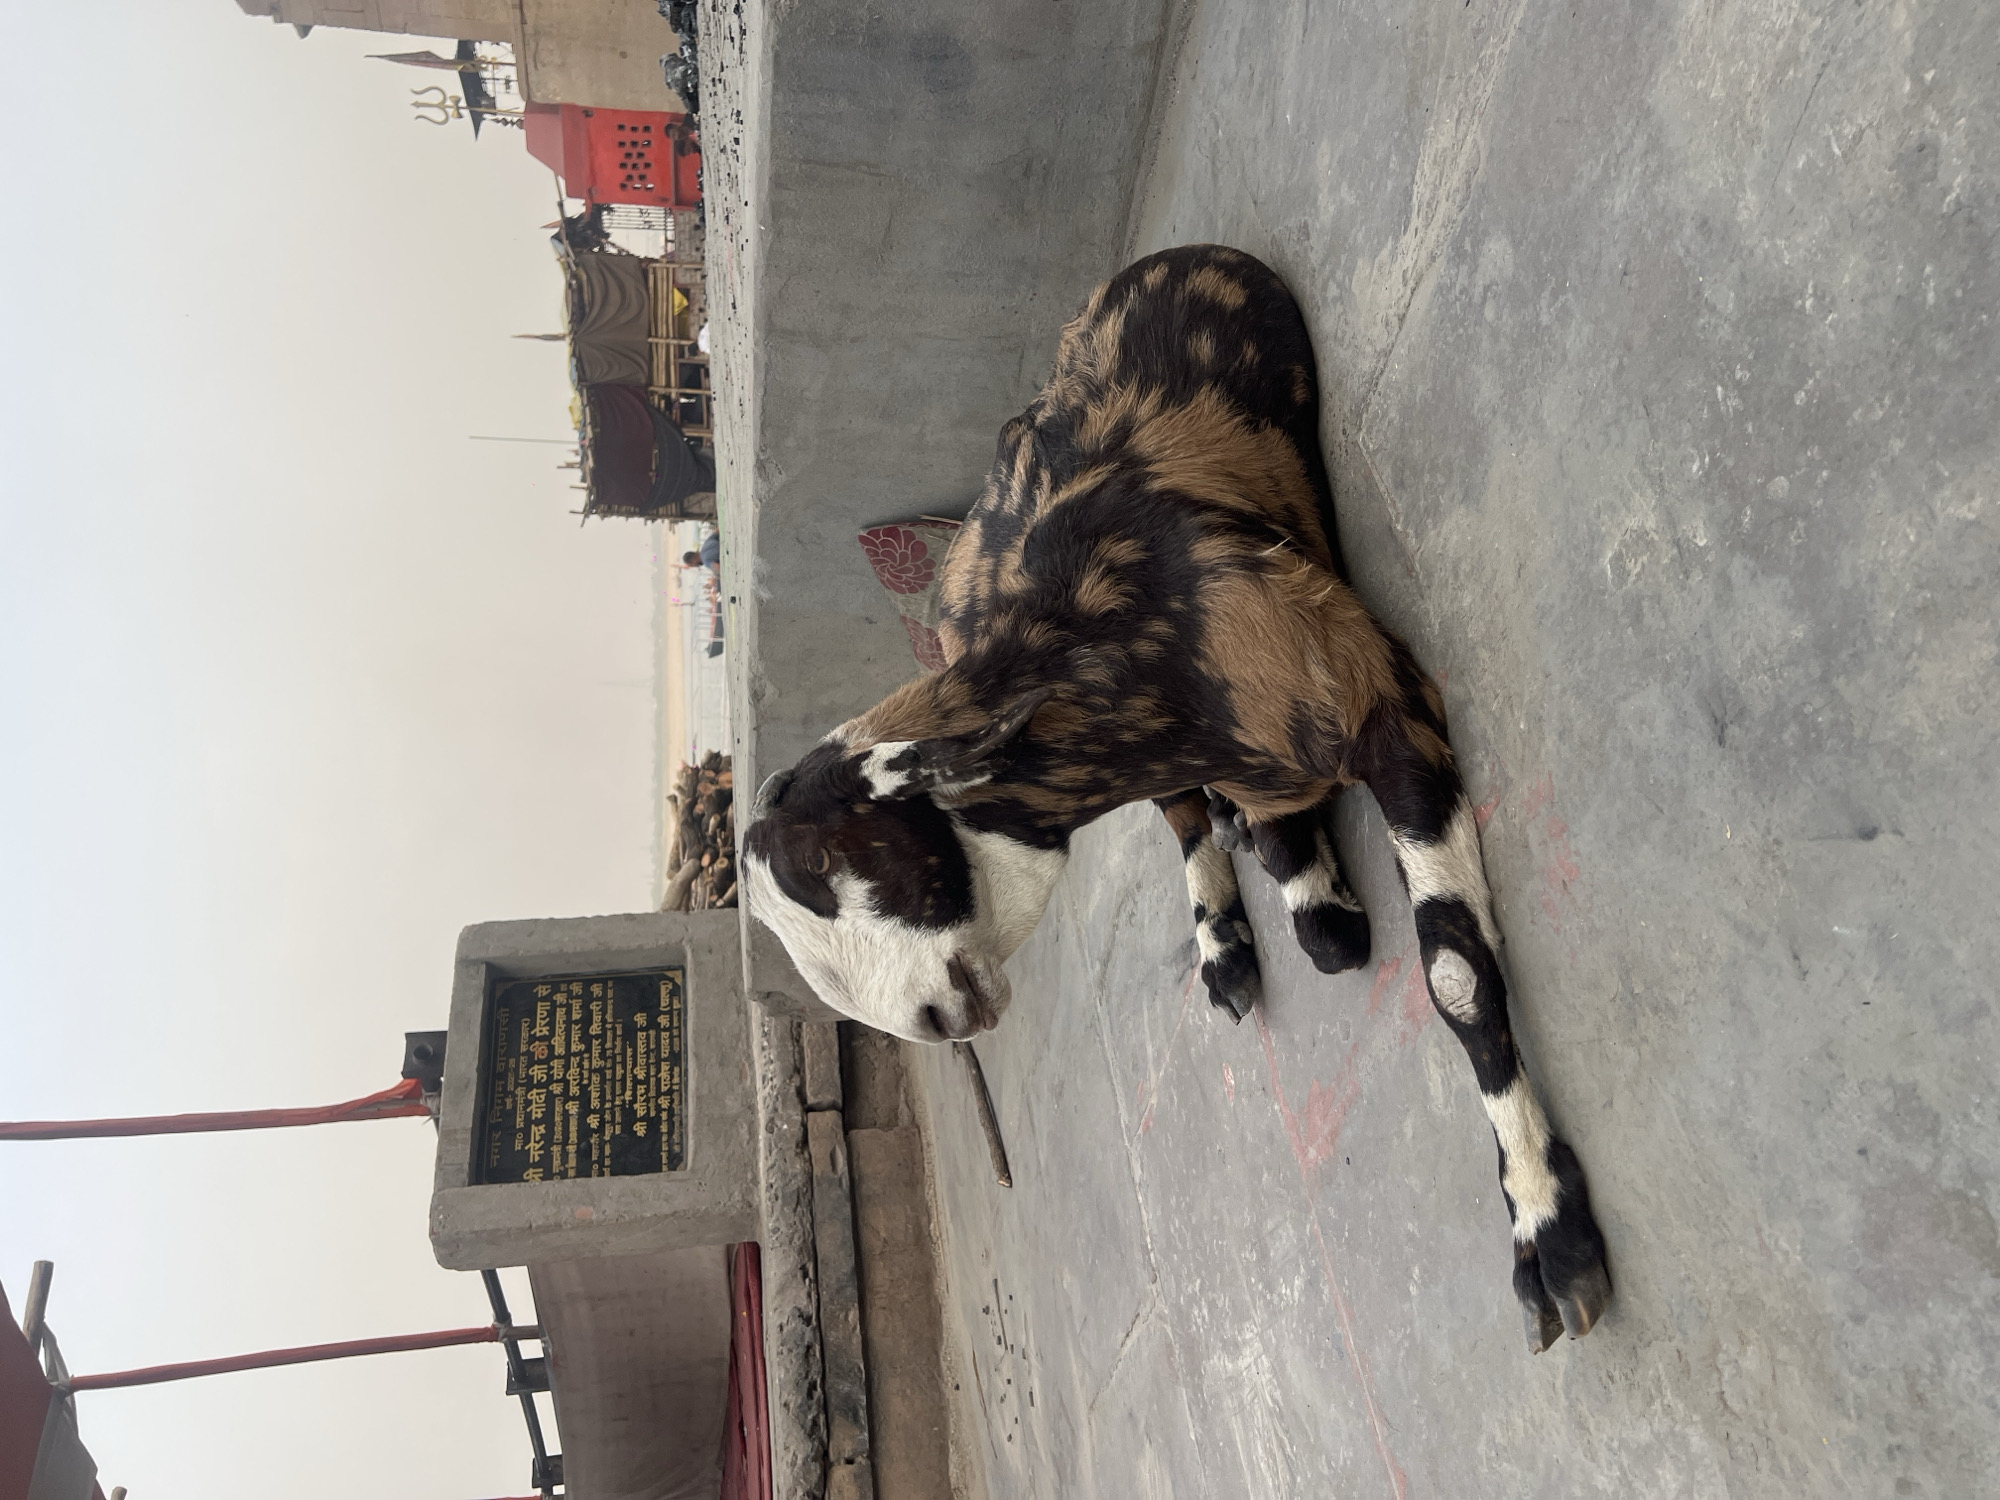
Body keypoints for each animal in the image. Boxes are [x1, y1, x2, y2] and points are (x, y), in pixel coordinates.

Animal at [742, 244, 1611, 1349]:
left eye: (820, 859)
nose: (931, 1022)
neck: (1119, 652)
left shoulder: (1387, 707)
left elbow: (1454, 976)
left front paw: (1548, 1229)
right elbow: (1240, 844)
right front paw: (1276, 884)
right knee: (1191, 825)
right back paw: (1236, 927)